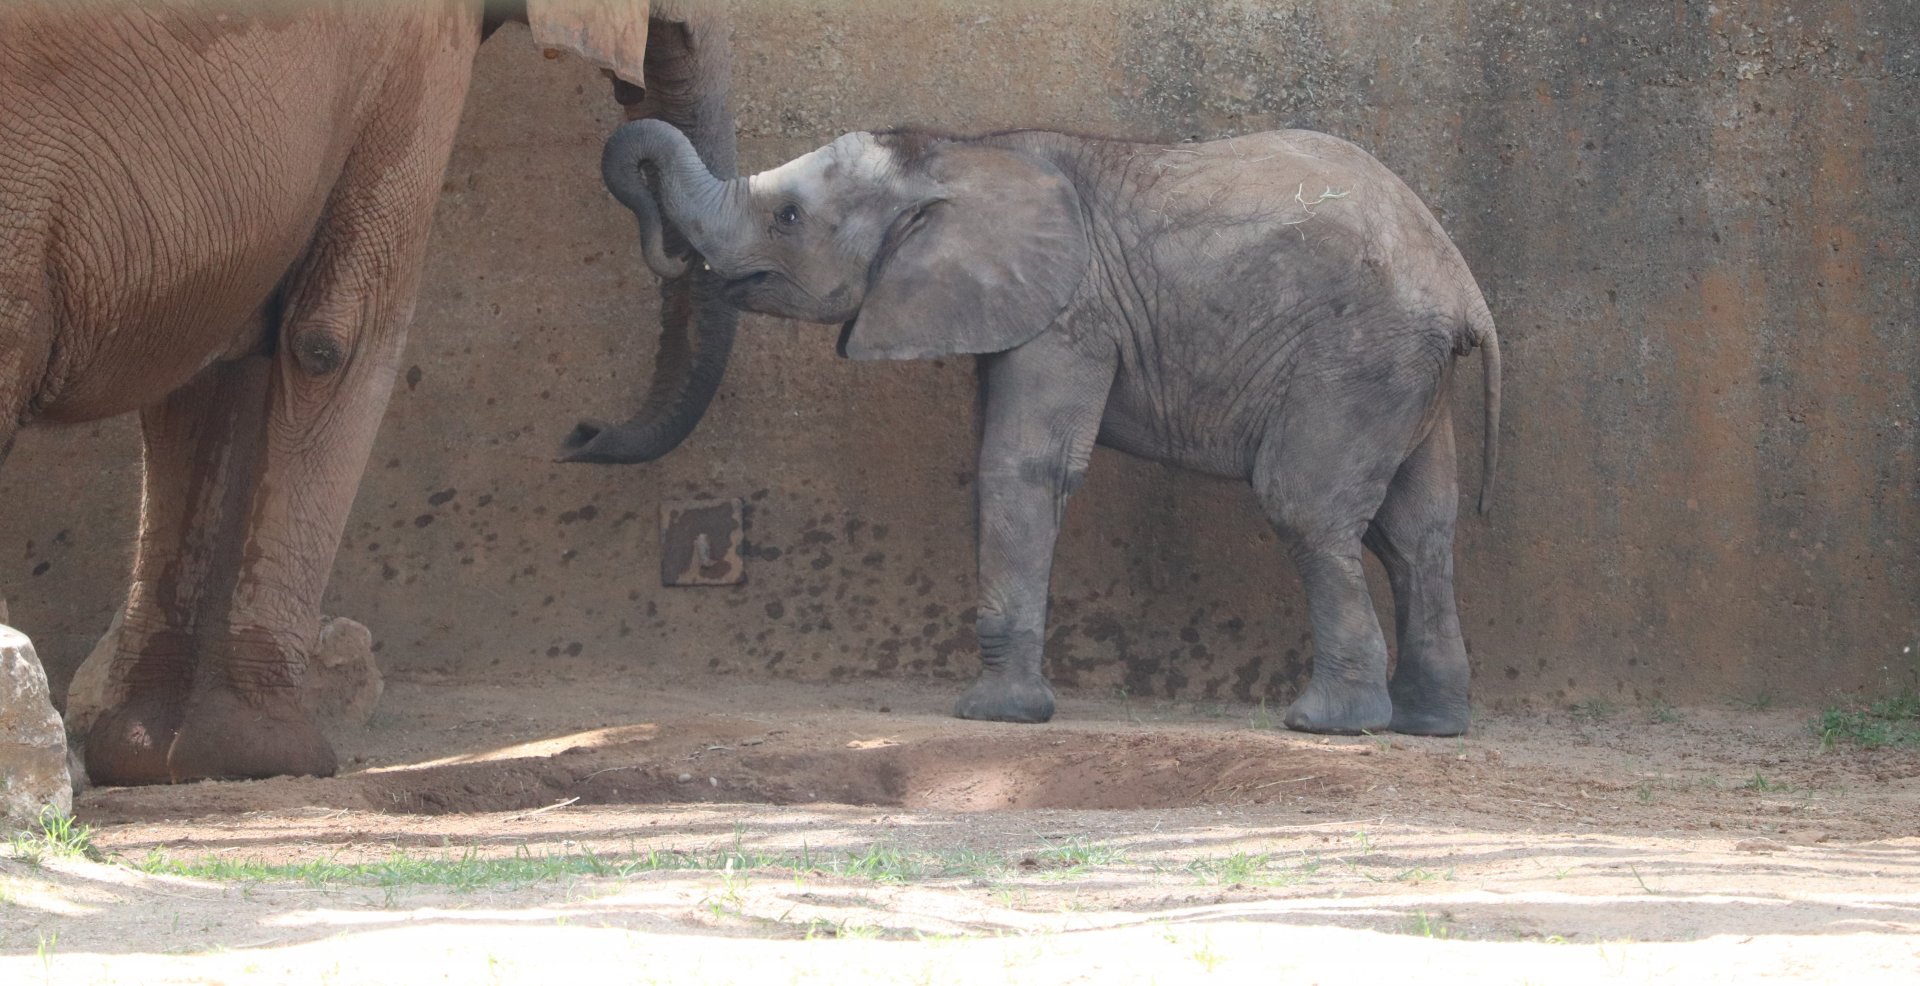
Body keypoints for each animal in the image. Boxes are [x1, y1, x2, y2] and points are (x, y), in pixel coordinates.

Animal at [0, 0, 736, 785]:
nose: (580, 435)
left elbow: (216, 360)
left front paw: (159, 760)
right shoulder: (419, 50)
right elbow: (333, 335)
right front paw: (272, 756)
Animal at [576, 120, 1502, 736]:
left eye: (790, 218)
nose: (579, 435)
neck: (954, 153)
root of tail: (1464, 286)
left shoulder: (1068, 317)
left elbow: (1022, 468)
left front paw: (993, 716)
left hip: (1355, 358)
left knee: (1306, 508)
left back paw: (1327, 723)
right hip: (1404, 371)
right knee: (1417, 531)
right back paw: (1431, 725)